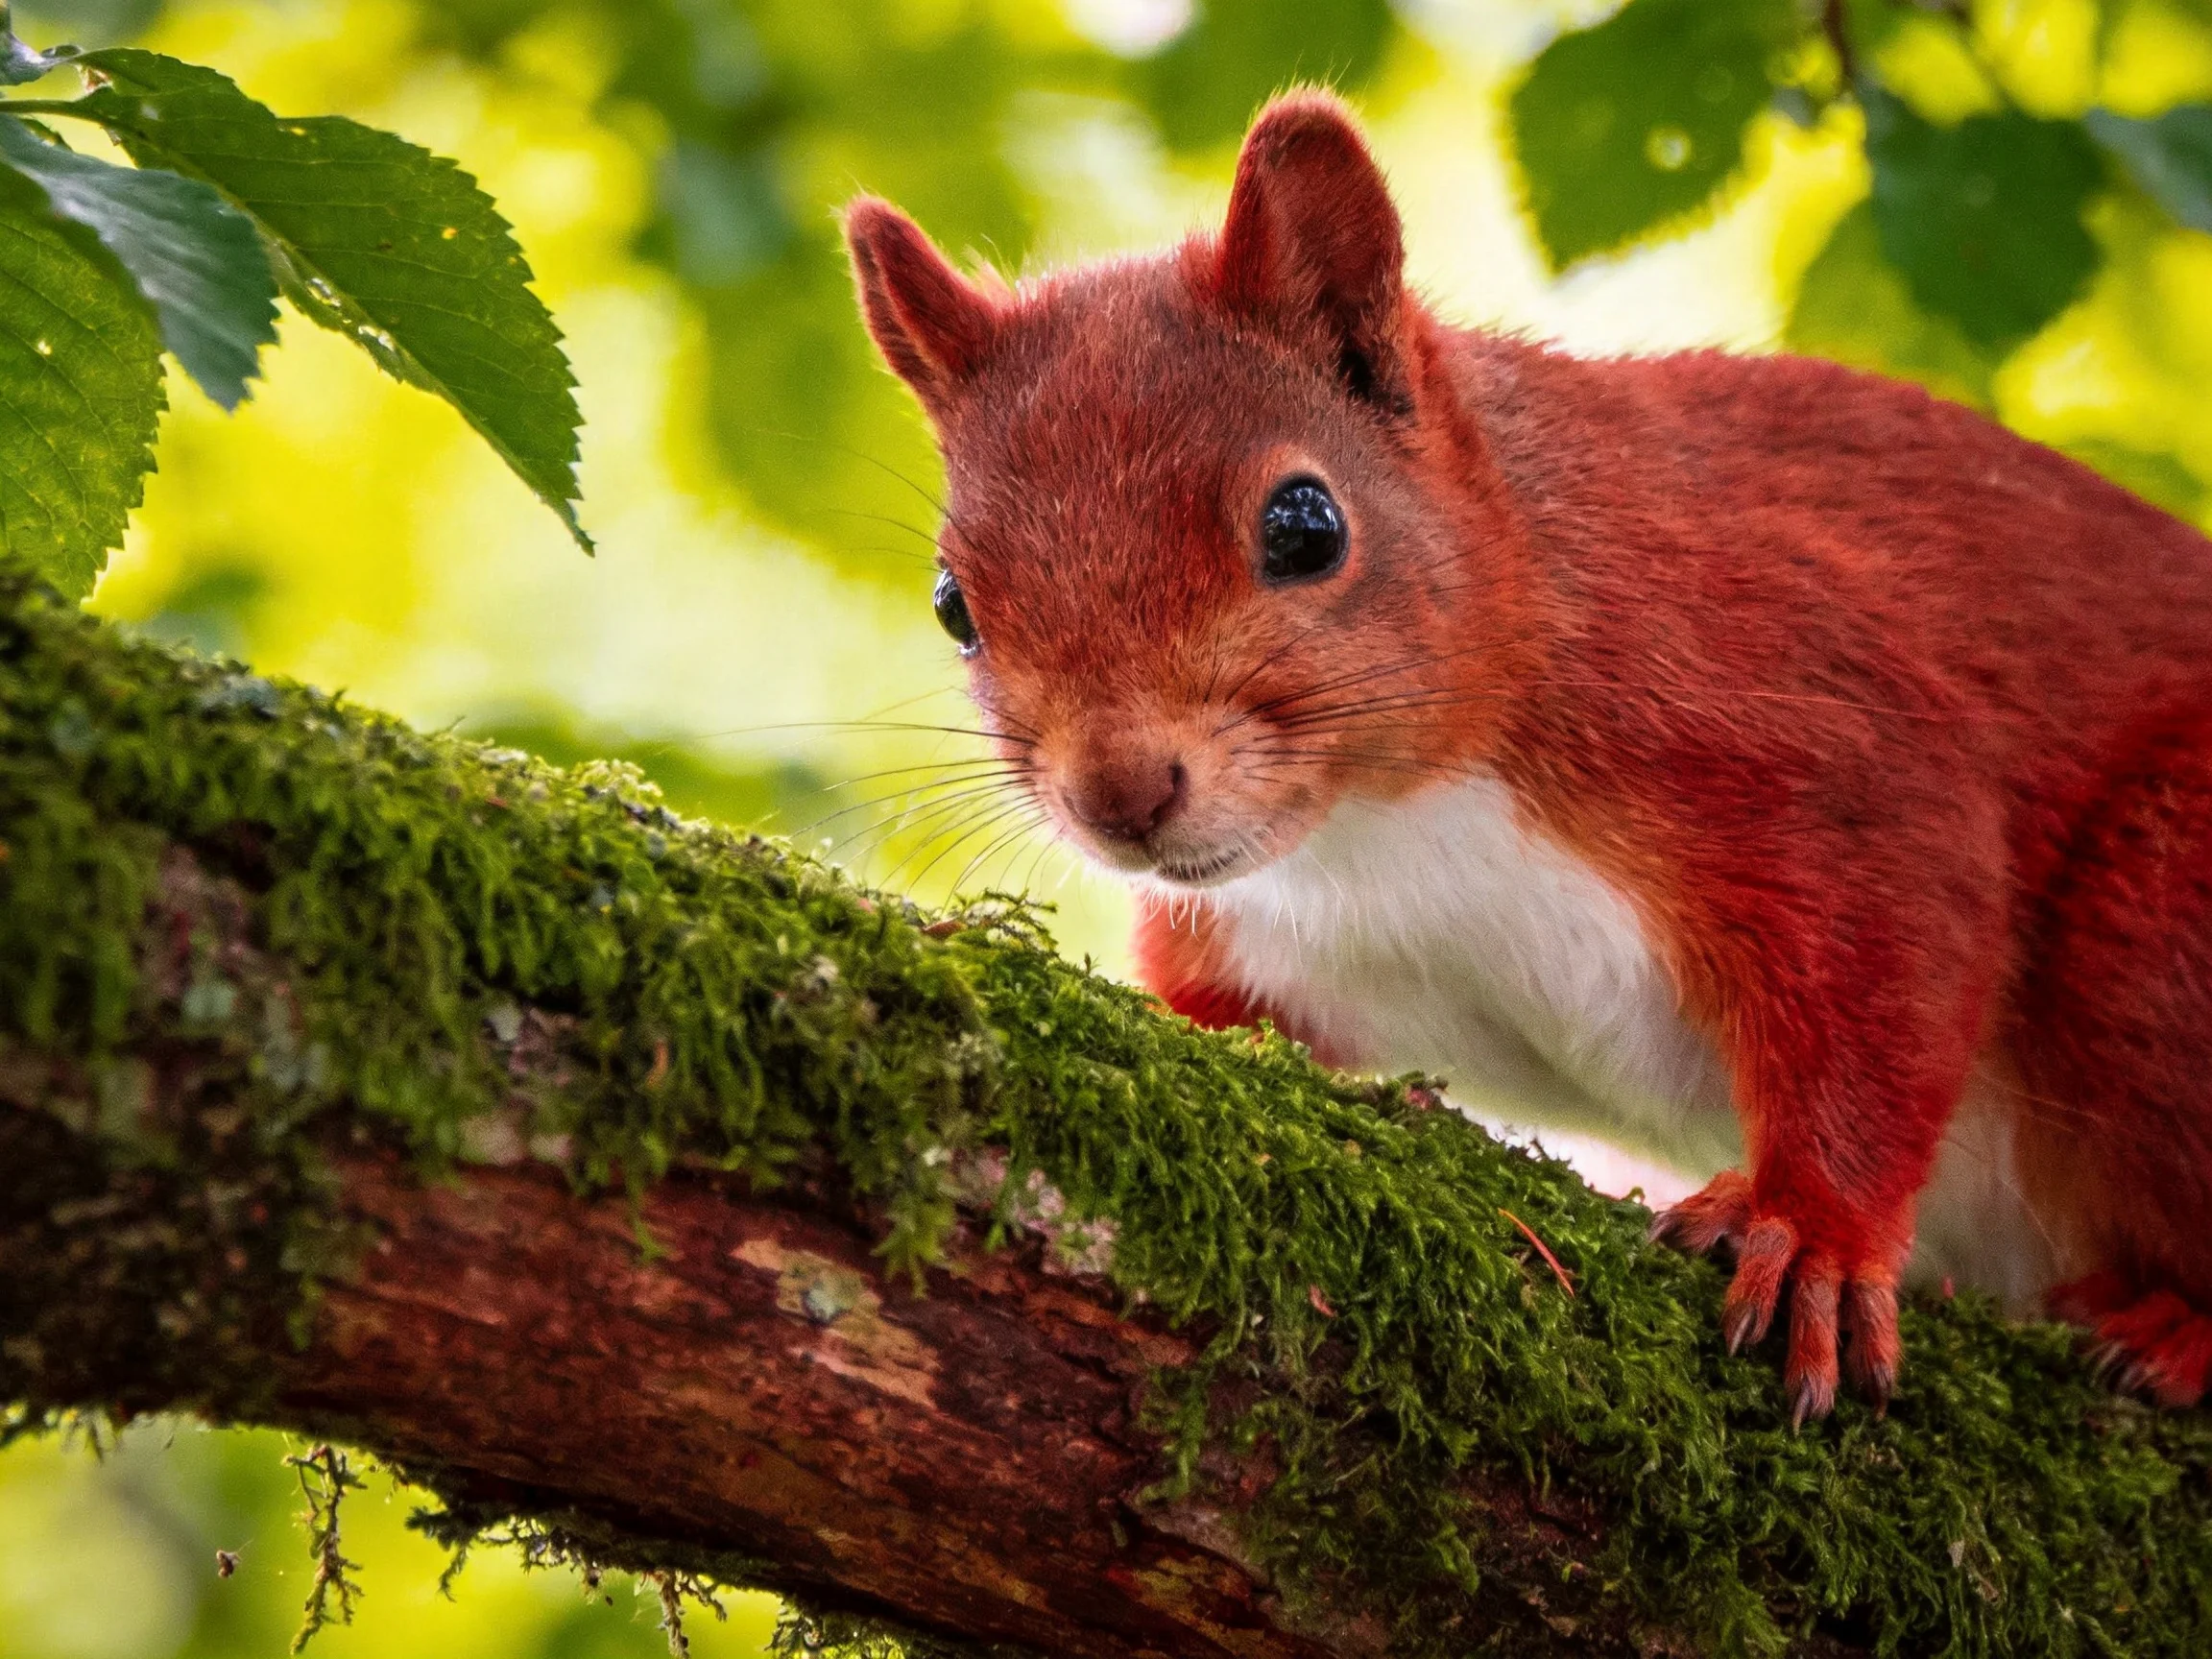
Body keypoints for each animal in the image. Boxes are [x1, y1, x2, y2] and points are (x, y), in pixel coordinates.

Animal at [843, 90, 2212, 1422]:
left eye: (1306, 524)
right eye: (953, 606)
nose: (1120, 797)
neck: (1393, 815)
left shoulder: (1808, 722)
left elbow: (1895, 950)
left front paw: (1814, 1238)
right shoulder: (1275, 939)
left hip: (2154, 904)